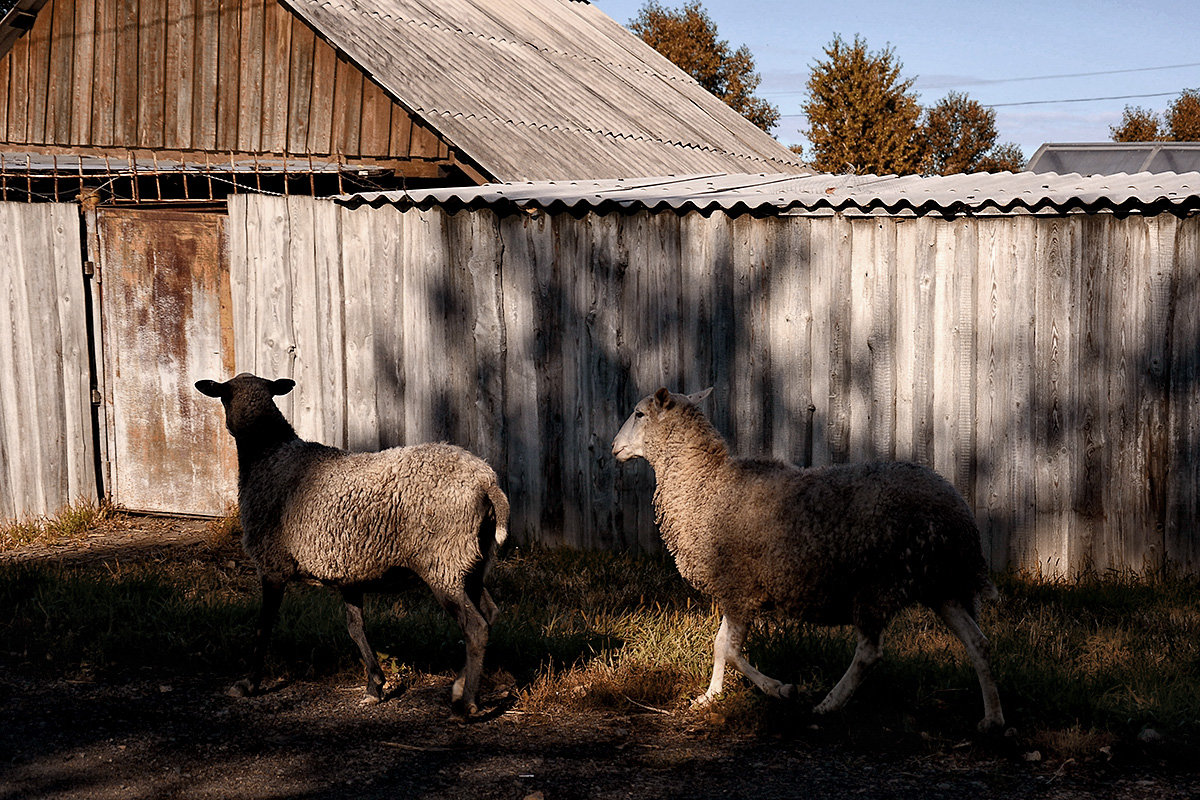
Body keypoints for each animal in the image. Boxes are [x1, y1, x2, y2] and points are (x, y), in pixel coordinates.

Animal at [193, 371, 511, 714]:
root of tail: (486, 482)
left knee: (475, 627)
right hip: (472, 561)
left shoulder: (272, 563)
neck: (268, 452)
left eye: (223, 395)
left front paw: (249, 684)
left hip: (443, 561)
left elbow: (264, 626)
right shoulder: (348, 569)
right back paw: (459, 687)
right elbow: (355, 628)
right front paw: (375, 685)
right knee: (490, 615)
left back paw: (467, 705)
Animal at [609, 388, 1003, 734]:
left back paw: (828, 704)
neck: (706, 484)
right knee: (978, 644)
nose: (613, 447)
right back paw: (993, 719)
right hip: (940, 584)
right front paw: (710, 697)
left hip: (879, 585)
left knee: (869, 654)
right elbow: (721, 647)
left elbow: (731, 651)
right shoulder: (734, 590)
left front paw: (780, 689)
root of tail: (958, 511)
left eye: (639, 414)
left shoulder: (739, 587)